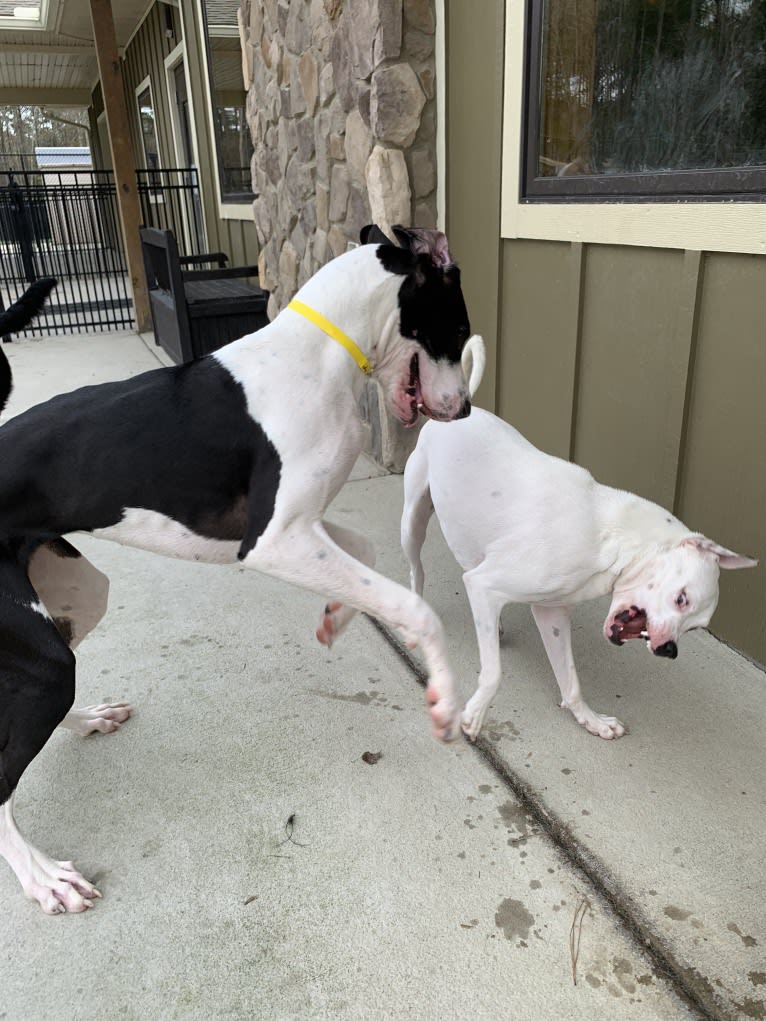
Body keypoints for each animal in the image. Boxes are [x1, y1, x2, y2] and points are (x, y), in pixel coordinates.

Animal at [0, 227, 477, 914]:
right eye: (458, 327)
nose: (464, 410)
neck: (321, 347)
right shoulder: (273, 542)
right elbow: (414, 606)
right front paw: (442, 700)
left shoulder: (298, 528)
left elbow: (367, 552)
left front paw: (339, 615)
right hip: (42, 660)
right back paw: (42, 877)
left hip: (75, 594)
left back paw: (88, 719)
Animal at [402, 345, 755, 743]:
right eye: (682, 599)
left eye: (695, 628)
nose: (669, 650)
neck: (607, 536)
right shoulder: (485, 585)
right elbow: (493, 672)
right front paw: (475, 714)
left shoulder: (551, 613)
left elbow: (570, 681)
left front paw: (591, 720)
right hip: (413, 522)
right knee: (417, 570)